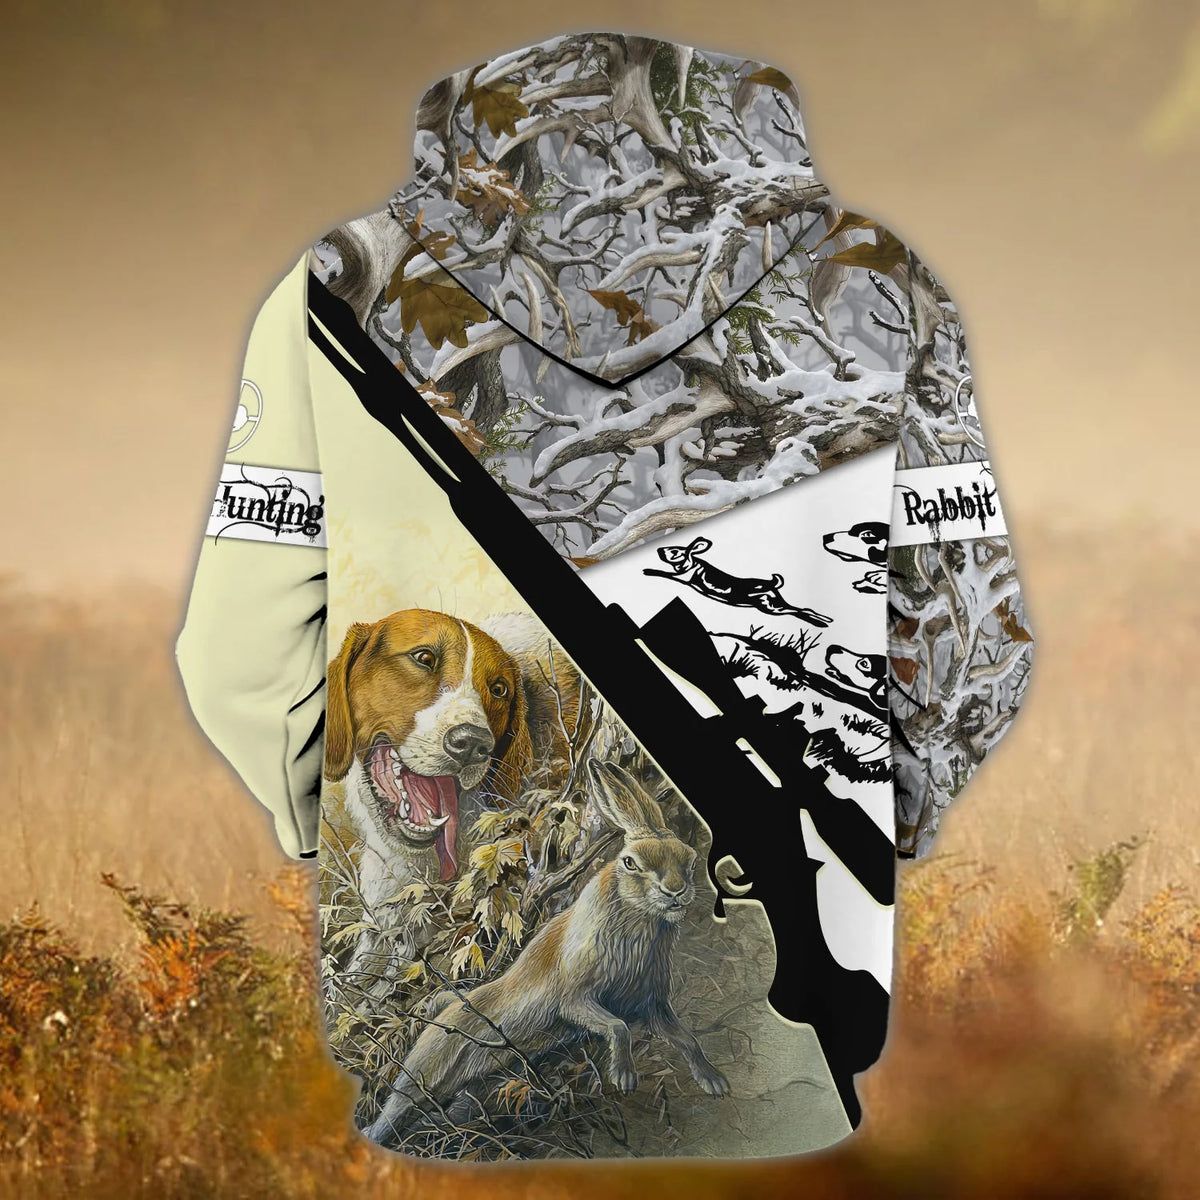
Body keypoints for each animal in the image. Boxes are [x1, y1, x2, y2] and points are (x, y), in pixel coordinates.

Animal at [363, 757, 730, 1147]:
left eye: (690, 860)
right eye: (630, 862)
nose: (675, 891)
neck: (640, 920)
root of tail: (444, 1015)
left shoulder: (652, 1005)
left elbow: (687, 1039)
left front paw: (714, 1082)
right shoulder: (575, 999)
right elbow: (618, 1028)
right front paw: (624, 1077)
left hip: (478, 1083)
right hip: (427, 1067)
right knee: (396, 1107)